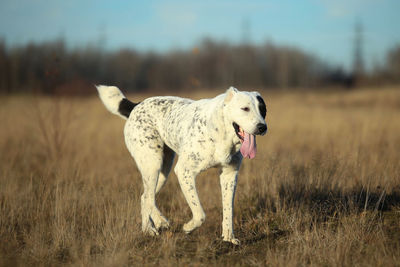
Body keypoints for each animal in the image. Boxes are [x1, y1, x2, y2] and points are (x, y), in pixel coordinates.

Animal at [95, 85, 268, 245]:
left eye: (263, 110)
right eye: (245, 108)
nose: (262, 127)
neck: (222, 132)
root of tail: (136, 105)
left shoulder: (229, 175)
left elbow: (228, 210)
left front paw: (229, 238)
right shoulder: (185, 171)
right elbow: (200, 214)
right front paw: (188, 227)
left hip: (163, 172)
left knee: (145, 197)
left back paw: (153, 225)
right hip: (152, 165)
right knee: (148, 197)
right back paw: (155, 225)